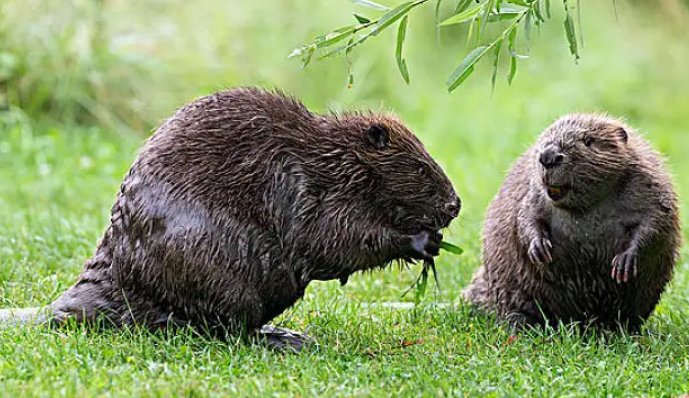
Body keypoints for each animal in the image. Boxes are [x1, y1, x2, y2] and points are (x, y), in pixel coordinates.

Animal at [2, 86, 462, 348]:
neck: (333, 159)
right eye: (421, 167)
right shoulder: (309, 188)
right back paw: (284, 340)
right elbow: (332, 238)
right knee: (217, 329)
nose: (454, 205)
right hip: (213, 267)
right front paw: (422, 240)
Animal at [460, 113, 680, 332]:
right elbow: (526, 215)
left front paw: (624, 263)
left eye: (588, 140)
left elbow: (656, 220)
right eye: (545, 137)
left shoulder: (647, 181)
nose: (548, 157)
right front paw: (539, 249)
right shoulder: (533, 189)